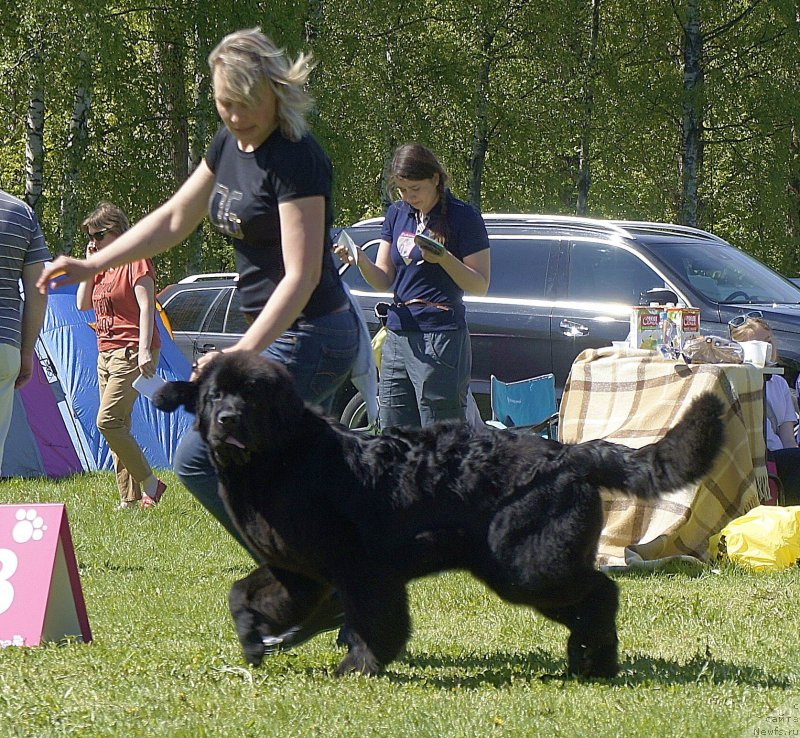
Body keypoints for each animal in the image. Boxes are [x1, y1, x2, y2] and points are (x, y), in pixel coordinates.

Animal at [156, 350, 724, 680]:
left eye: (252, 397)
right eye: (213, 396)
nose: (228, 420)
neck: (282, 458)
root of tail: (568, 454)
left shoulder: (361, 569)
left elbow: (376, 623)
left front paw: (358, 666)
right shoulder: (297, 570)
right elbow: (244, 594)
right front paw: (254, 641)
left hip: (528, 566)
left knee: (602, 593)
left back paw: (594, 661)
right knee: (591, 601)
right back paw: (589, 661)